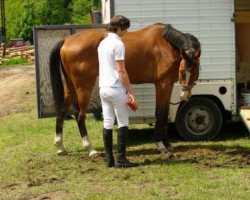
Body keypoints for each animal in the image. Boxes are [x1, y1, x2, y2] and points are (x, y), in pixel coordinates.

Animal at [49, 23, 200, 156]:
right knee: (79, 114)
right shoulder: (161, 85)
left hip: (71, 87)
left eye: (194, 71)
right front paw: (160, 145)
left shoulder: (168, 85)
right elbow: (160, 113)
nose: (185, 96)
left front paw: (168, 144)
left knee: (62, 111)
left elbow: (165, 115)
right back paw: (90, 149)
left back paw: (60, 146)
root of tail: (67, 39)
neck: (165, 44)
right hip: (84, 87)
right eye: (182, 72)